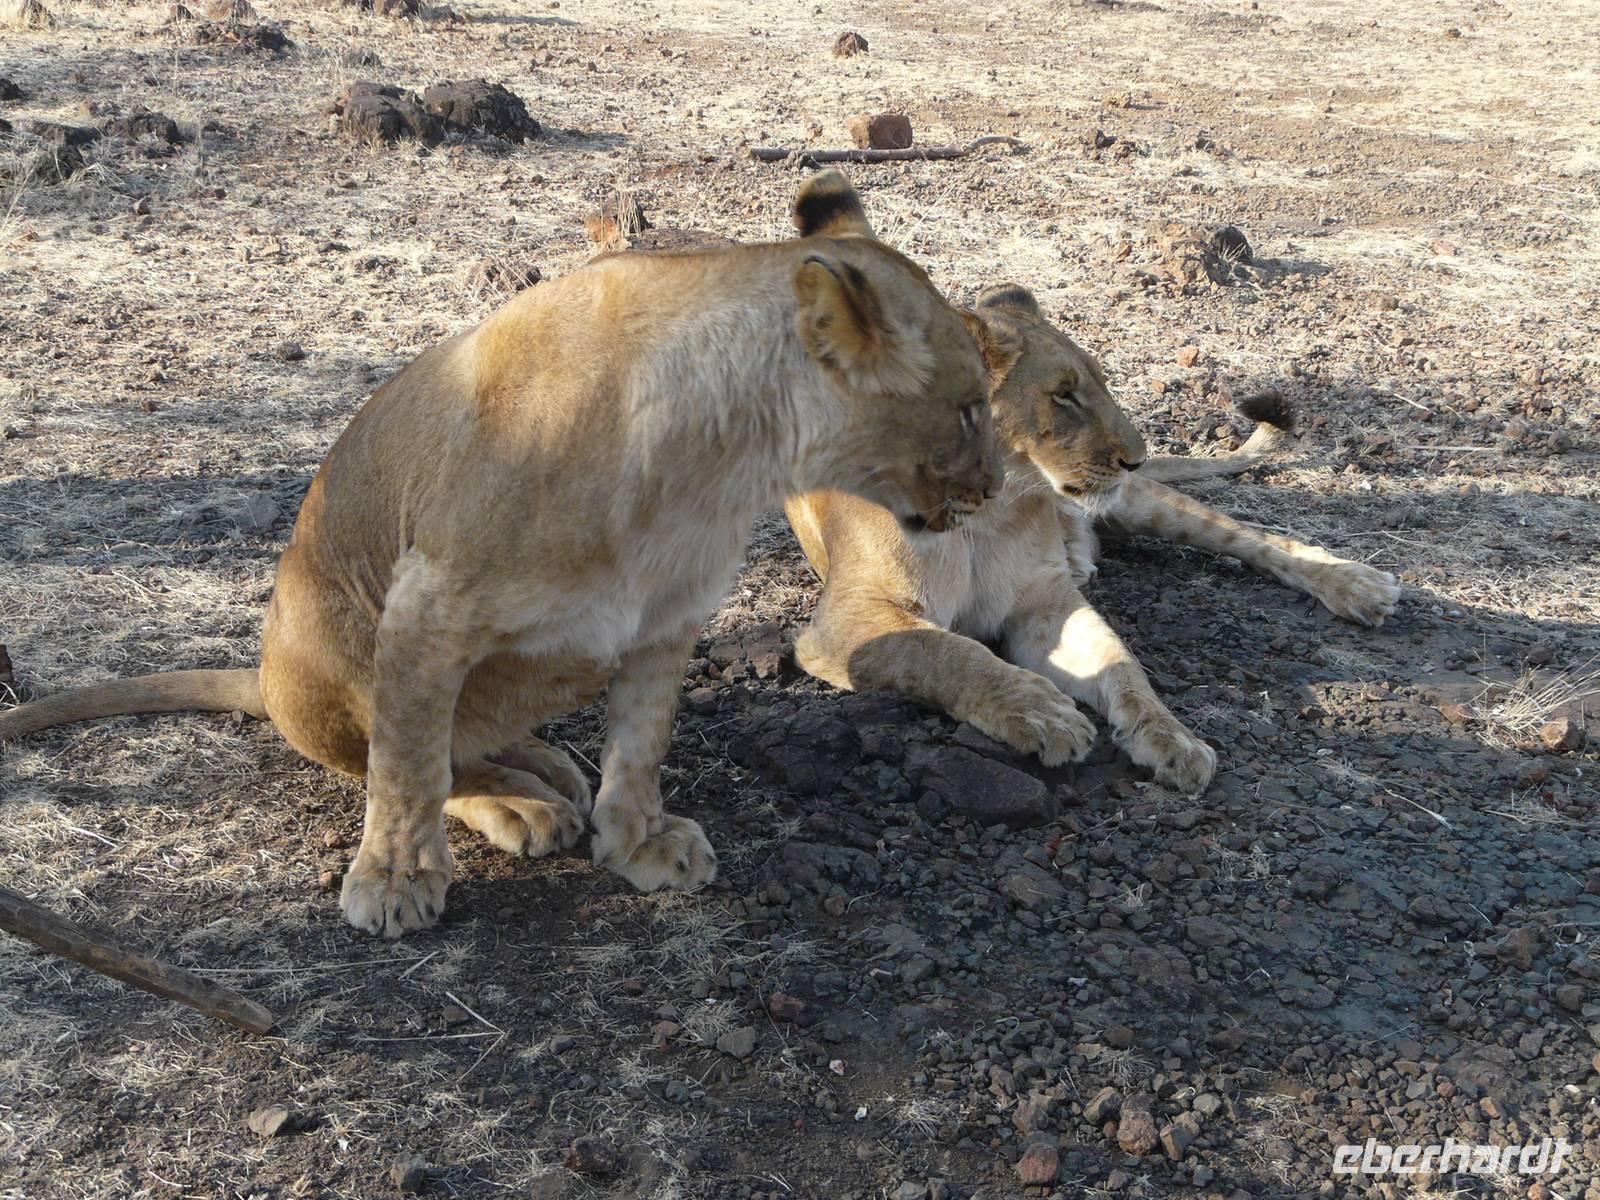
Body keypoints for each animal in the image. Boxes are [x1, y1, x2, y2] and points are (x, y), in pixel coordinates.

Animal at [0, 170, 1006, 938]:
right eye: (967, 409)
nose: (999, 484)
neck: (719, 455)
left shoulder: (666, 619)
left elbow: (641, 744)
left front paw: (636, 842)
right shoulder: (426, 602)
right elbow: (407, 765)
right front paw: (395, 884)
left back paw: (547, 765)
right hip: (331, 635)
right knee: (398, 753)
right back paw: (521, 801)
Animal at [785, 283, 1401, 793]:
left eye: (1101, 382)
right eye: (1063, 395)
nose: (1137, 458)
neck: (987, 510)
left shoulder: (1045, 602)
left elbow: (1122, 664)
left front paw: (1172, 737)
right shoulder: (845, 621)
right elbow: (947, 651)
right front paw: (1044, 713)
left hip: (1142, 505)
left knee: (1256, 541)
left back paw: (1356, 585)